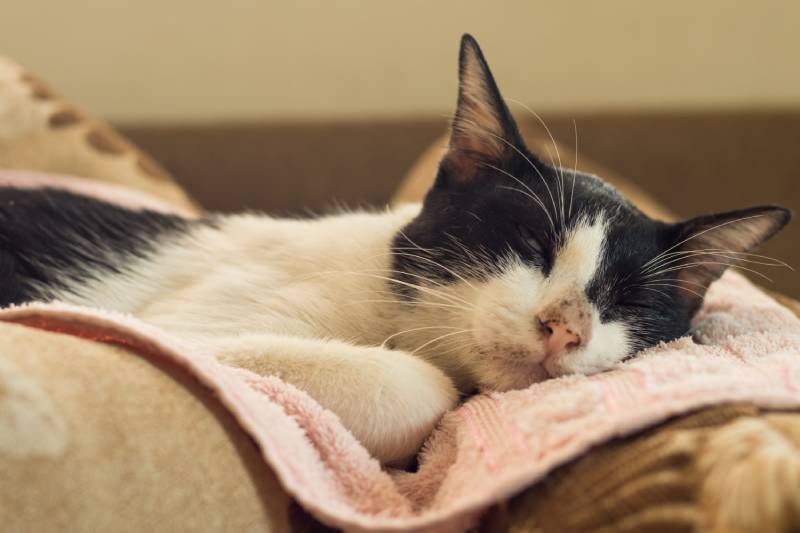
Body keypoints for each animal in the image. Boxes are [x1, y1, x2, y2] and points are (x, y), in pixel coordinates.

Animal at [0, 35, 792, 464]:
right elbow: (419, 384)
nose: (564, 324)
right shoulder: (175, 326)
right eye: (528, 242)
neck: (390, 300)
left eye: (622, 301)